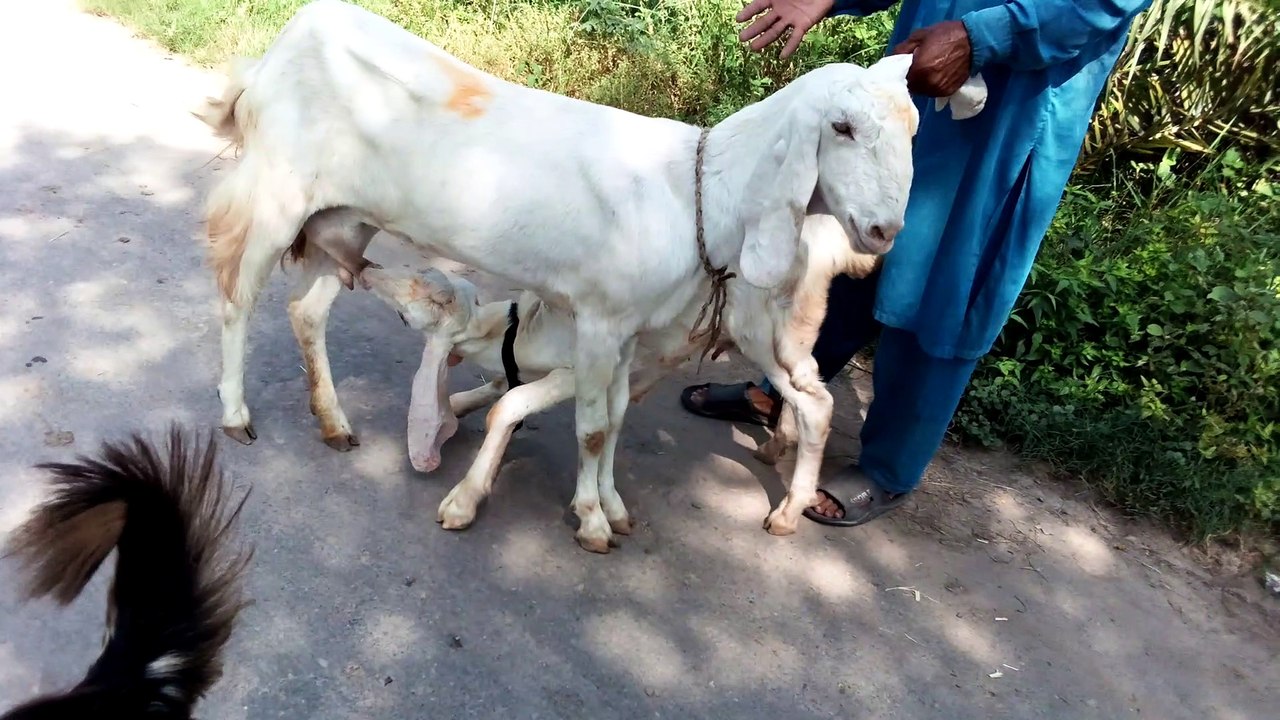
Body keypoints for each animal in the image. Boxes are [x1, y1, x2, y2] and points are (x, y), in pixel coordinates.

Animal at [196, 0, 918, 552]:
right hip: (278, 194)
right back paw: (234, 413)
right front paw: (593, 520)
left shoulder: (630, 334)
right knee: (237, 298)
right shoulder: (601, 320)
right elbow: (594, 425)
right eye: (842, 127)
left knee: (307, 310)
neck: (699, 193)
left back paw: (335, 423)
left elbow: (615, 416)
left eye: (913, 127)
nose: (886, 231)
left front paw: (610, 506)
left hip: (344, 220)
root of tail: (282, 48)